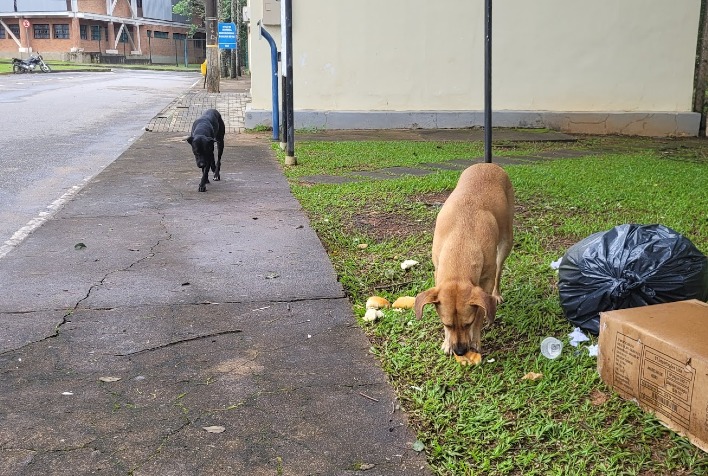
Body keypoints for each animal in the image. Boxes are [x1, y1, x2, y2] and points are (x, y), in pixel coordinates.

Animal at [412, 163, 512, 356]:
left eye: (468, 323)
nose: (460, 351)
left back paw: (496, 294)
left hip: (506, 242)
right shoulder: (438, 272)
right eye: (446, 324)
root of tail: (488, 164)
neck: (461, 240)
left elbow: (481, 312)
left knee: (499, 269)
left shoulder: (485, 281)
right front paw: (446, 342)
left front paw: (476, 340)